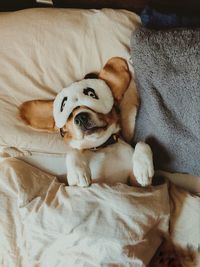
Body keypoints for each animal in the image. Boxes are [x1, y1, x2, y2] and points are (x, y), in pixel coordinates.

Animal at [19, 57, 154, 188]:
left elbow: (141, 143)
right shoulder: (71, 185)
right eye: (67, 112)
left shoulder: (137, 185)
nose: (81, 117)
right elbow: (73, 151)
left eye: (91, 95)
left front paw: (143, 168)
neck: (101, 147)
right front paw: (79, 172)